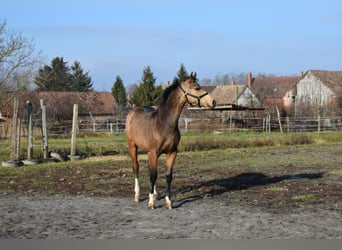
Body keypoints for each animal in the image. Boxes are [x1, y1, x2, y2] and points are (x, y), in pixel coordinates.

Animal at [125, 72, 216, 209]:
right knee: (136, 167)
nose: (213, 101)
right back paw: (137, 195)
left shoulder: (171, 152)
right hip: (133, 146)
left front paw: (168, 201)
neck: (164, 124)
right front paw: (151, 203)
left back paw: (155, 193)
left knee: (149, 168)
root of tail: (133, 110)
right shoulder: (153, 153)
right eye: (197, 88)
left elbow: (168, 176)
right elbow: (153, 175)